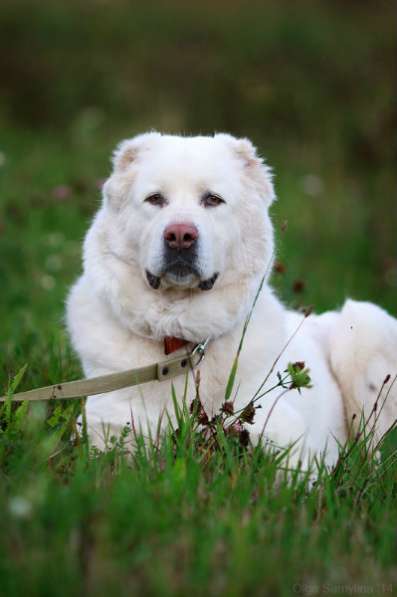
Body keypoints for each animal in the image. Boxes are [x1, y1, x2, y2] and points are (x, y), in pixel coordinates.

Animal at [65, 133, 396, 468]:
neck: (178, 340)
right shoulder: (103, 427)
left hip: (363, 325)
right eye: (155, 199)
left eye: (213, 199)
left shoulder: (282, 435)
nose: (180, 235)